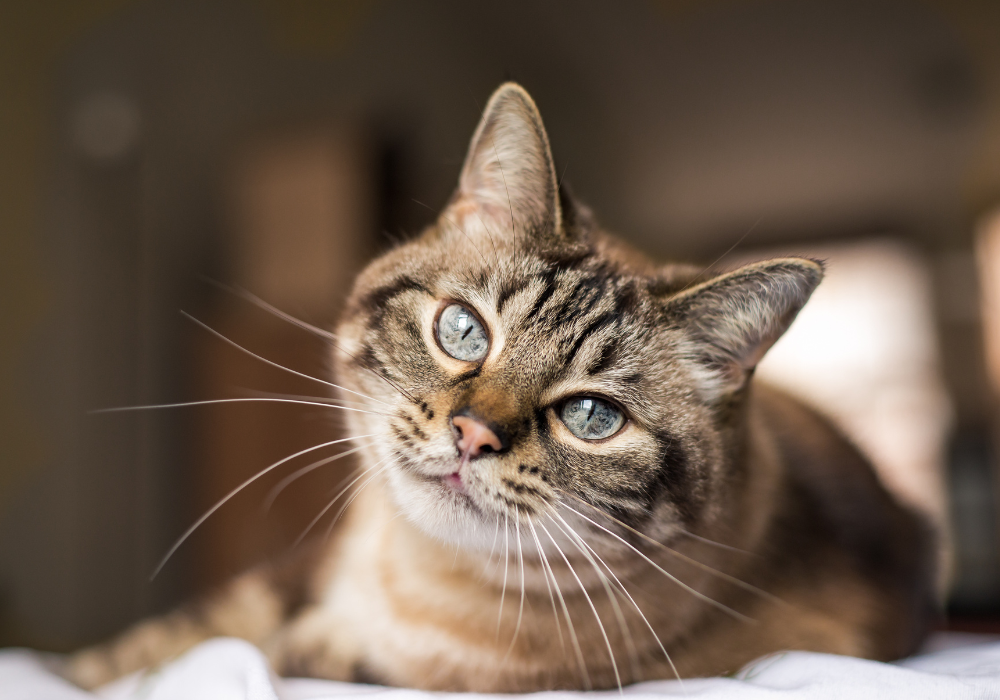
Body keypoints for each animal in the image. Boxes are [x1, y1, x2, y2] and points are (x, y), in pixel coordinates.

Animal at [68, 82, 936, 688]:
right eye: (463, 332)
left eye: (591, 415)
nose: (473, 435)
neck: (409, 577)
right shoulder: (294, 572)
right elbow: (158, 644)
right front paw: (92, 670)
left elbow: (298, 656)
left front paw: (316, 649)